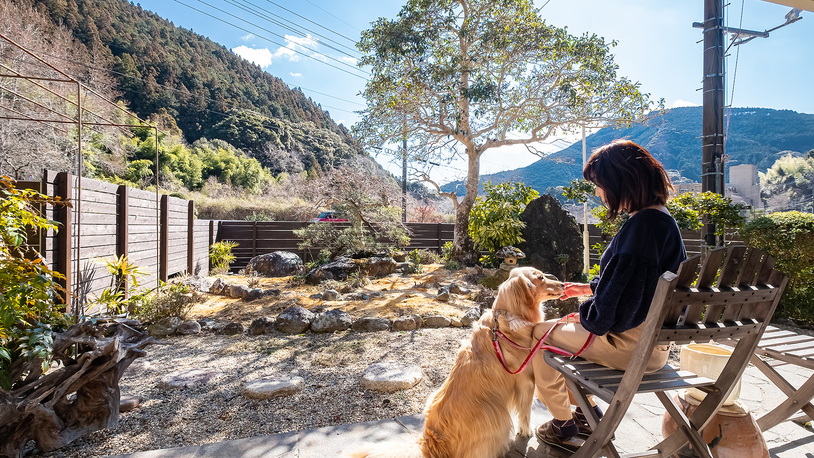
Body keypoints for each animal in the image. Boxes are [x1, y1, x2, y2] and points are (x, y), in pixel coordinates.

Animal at [348, 266, 564, 458]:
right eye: (541, 277)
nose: (563, 283)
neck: (507, 316)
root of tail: (430, 443)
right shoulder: (526, 381)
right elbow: (525, 412)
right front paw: (526, 432)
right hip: (496, 417)